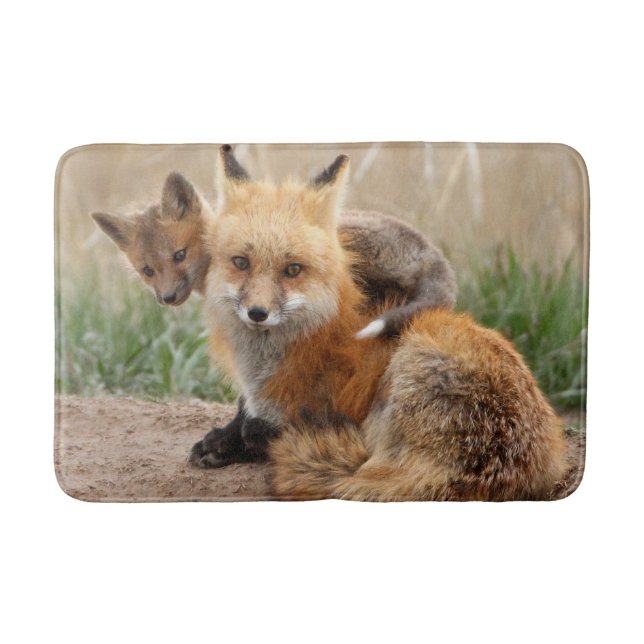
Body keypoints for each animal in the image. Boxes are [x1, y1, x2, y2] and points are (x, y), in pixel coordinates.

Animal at [197, 145, 568, 501]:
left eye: (293, 270)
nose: (257, 313)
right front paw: (221, 441)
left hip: (409, 361)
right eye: (240, 262)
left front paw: (238, 441)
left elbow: (268, 428)